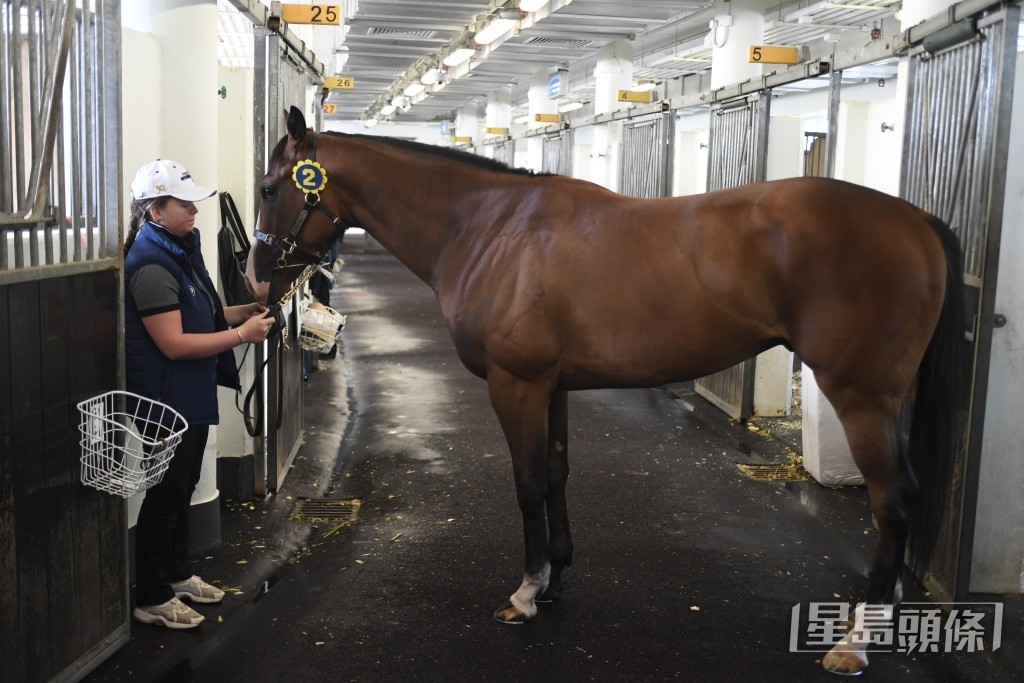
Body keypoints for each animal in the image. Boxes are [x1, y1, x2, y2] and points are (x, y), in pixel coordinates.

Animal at [245, 106, 968, 675]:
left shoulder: (516, 385)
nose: (256, 279)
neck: (491, 229)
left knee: (894, 498)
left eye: (270, 186)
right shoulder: (554, 385)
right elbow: (556, 473)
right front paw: (556, 577)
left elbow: (526, 482)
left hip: (862, 396)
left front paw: (525, 594)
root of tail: (917, 220)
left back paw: (855, 640)